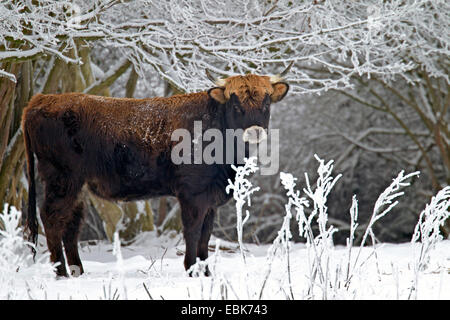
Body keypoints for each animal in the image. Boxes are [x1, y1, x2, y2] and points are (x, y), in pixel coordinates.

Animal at [21, 68, 290, 278]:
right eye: (236, 104)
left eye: (266, 103)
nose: (254, 131)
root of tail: (42, 99)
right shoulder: (193, 194)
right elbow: (193, 231)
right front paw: (191, 269)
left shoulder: (211, 199)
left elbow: (206, 235)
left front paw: (205, 272)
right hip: (62, 179)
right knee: (52, 218)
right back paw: (62, 272)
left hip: (77, 186)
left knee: (71, 224)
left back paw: (77, 271)